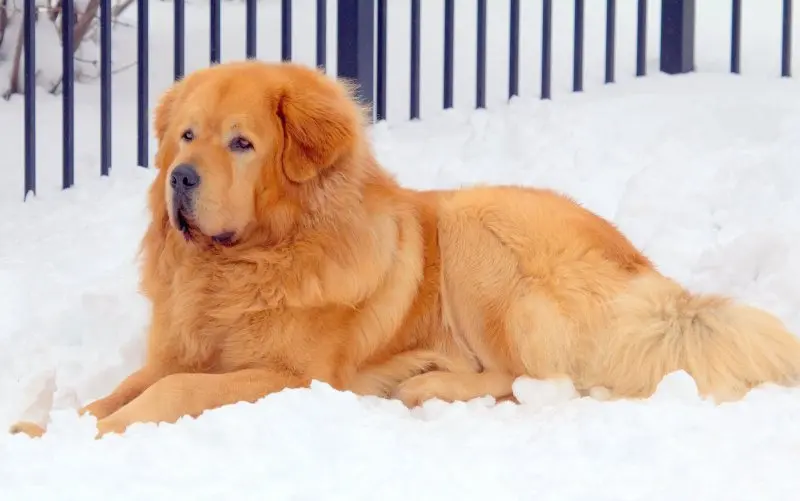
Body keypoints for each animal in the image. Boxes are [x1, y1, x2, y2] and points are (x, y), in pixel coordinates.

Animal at [10, 60, 800, 438]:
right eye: (185, 136)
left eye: (240, 142)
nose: (180, 177)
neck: (251, 261)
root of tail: (652, 277)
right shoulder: (178, 350)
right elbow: (120, 390)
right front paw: (44, 427)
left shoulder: (293, 377)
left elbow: (170, 394)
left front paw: (99, 434)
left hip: (479, 231)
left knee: (538, 379)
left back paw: (426, 384)